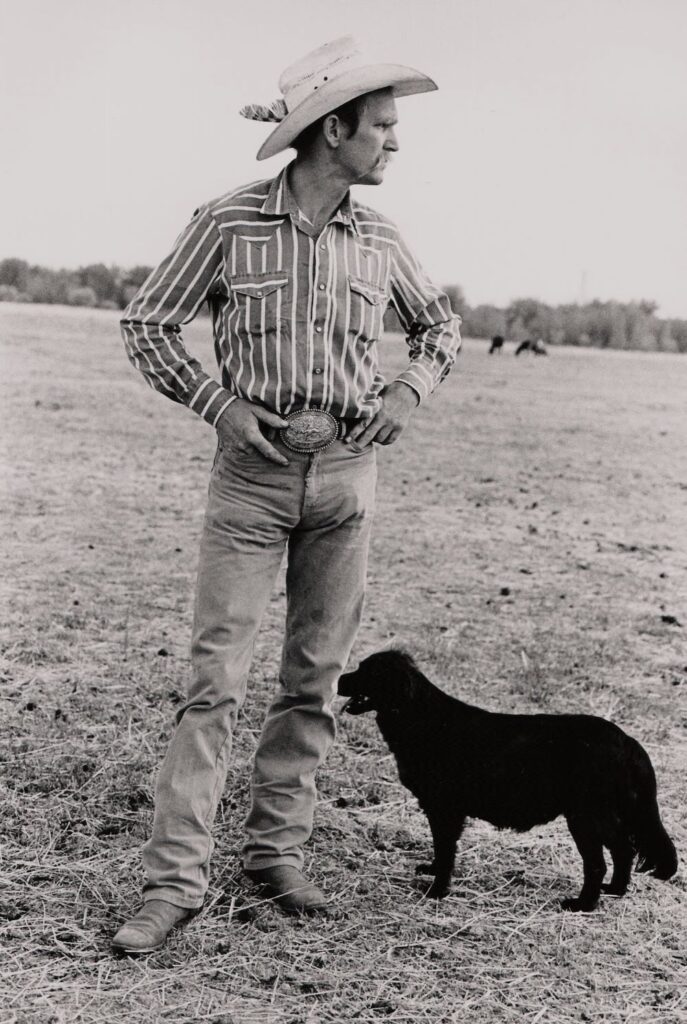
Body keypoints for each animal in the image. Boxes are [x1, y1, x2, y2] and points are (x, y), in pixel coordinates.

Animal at [337, 651, 675, 909]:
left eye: (367, 672)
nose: (339, 679)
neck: (423, 719)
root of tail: (628, 741)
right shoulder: (439, 810)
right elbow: (439, 849)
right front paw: (430, 871)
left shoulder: (446, 809)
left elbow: (446, 852)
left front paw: (437, 890)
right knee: (624, 850)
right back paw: (615, 890)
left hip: (586, 817)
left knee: (598, 863)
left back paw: (582, 905)